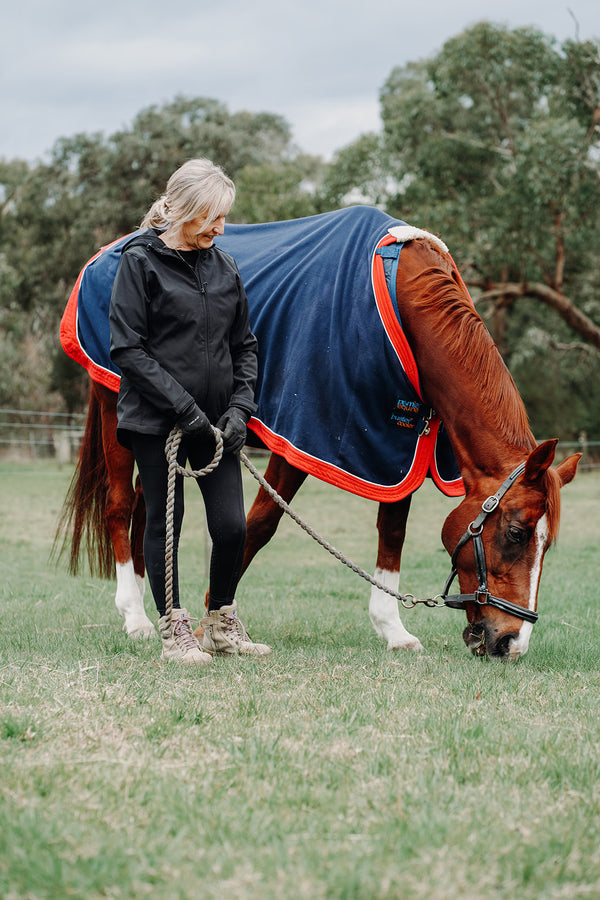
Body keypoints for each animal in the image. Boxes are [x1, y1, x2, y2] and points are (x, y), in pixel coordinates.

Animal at [56, 207, 580, 658]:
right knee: (120, 507)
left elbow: (392, 532)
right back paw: (135, 617)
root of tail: (107, 253)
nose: (511, 643)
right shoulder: (299, 438)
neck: (398, 297)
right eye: (515, 533)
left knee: (150, 511)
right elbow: (260, 523)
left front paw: (393, 630)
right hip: (117, 408)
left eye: (546, 544)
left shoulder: (398, 446)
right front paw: (213, 622)